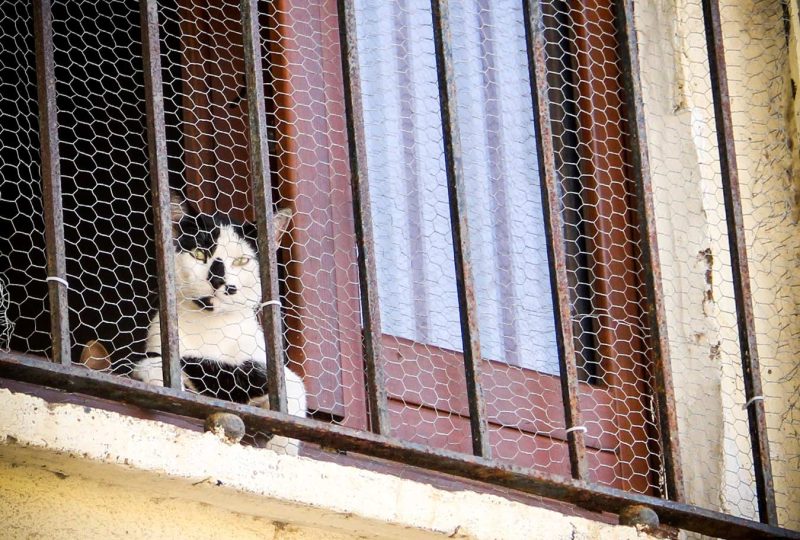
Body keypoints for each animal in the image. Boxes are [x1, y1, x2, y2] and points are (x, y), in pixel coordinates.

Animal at [131, 192, 306, 453]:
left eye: (241, 261)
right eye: (199, 253)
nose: (217, 279)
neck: (212, 328)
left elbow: (293, 391)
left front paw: (281, 448)